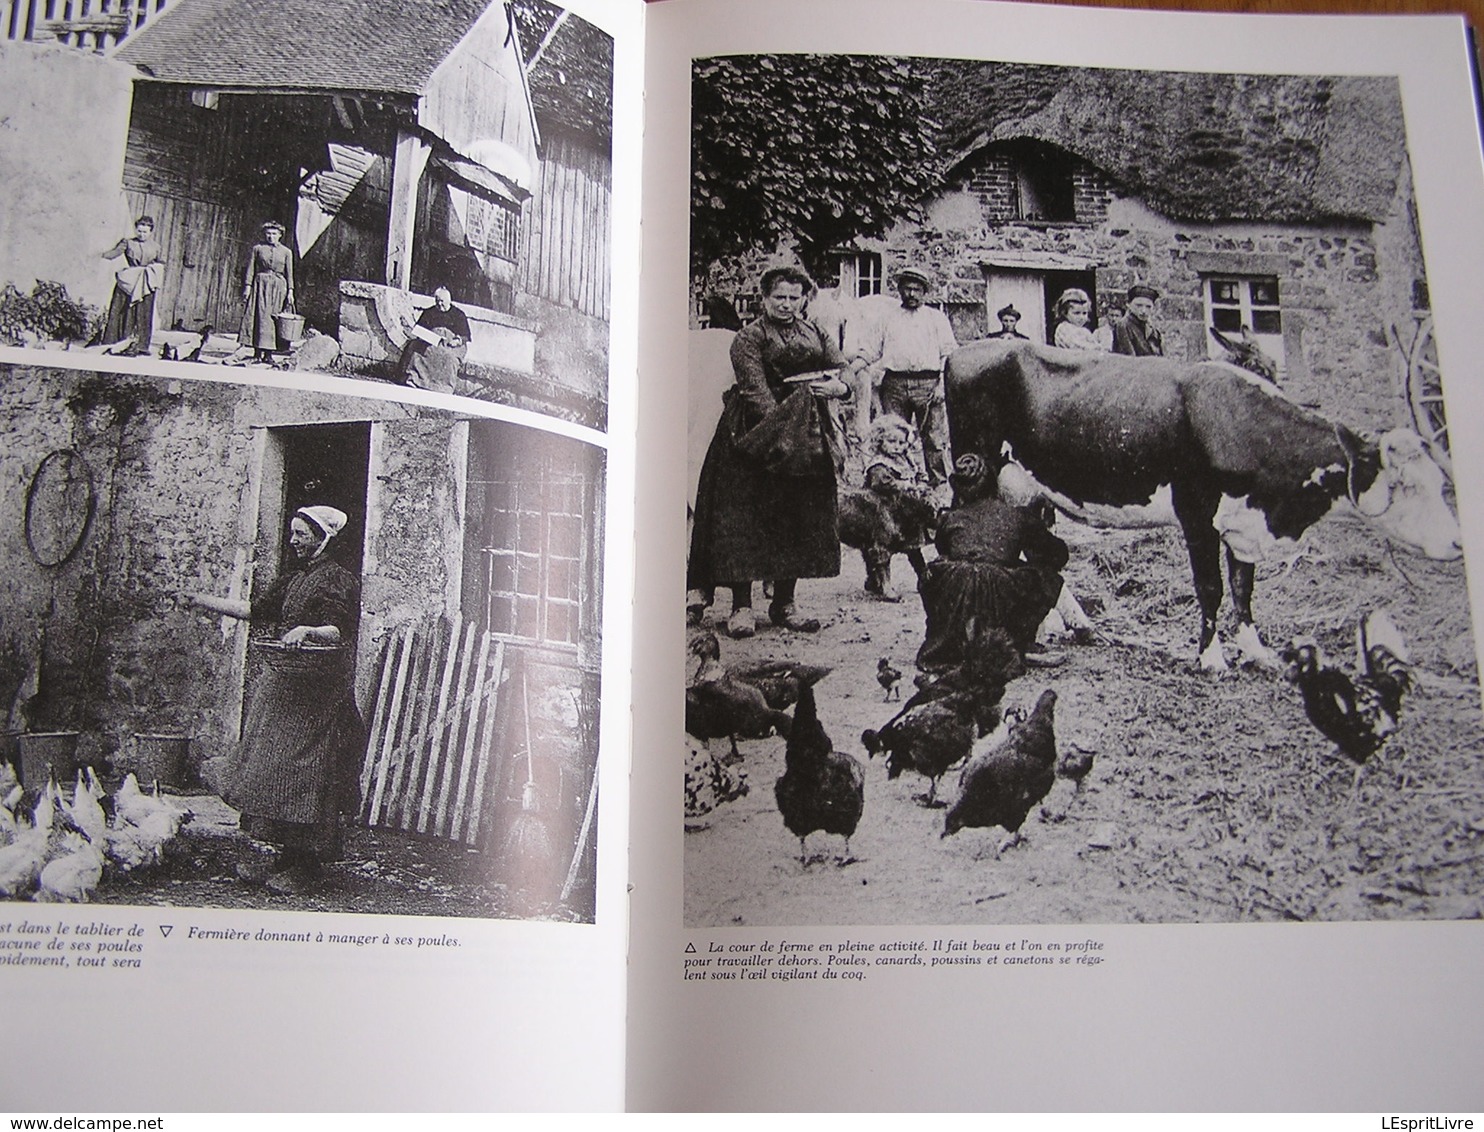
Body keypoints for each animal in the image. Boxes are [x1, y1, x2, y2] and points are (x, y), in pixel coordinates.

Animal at [943, 341, 1454, 667]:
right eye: (1407, 485)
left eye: (1438, 481)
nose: (1455, 544)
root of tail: (962, 351)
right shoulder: (1196, 513)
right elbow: (1212, 588)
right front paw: (1211, 657)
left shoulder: (1243, 521)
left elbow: (1244, 588)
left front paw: (1257, 651)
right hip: (978, 471)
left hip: (1029, 489)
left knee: (1036, 548)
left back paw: (1068, 624)